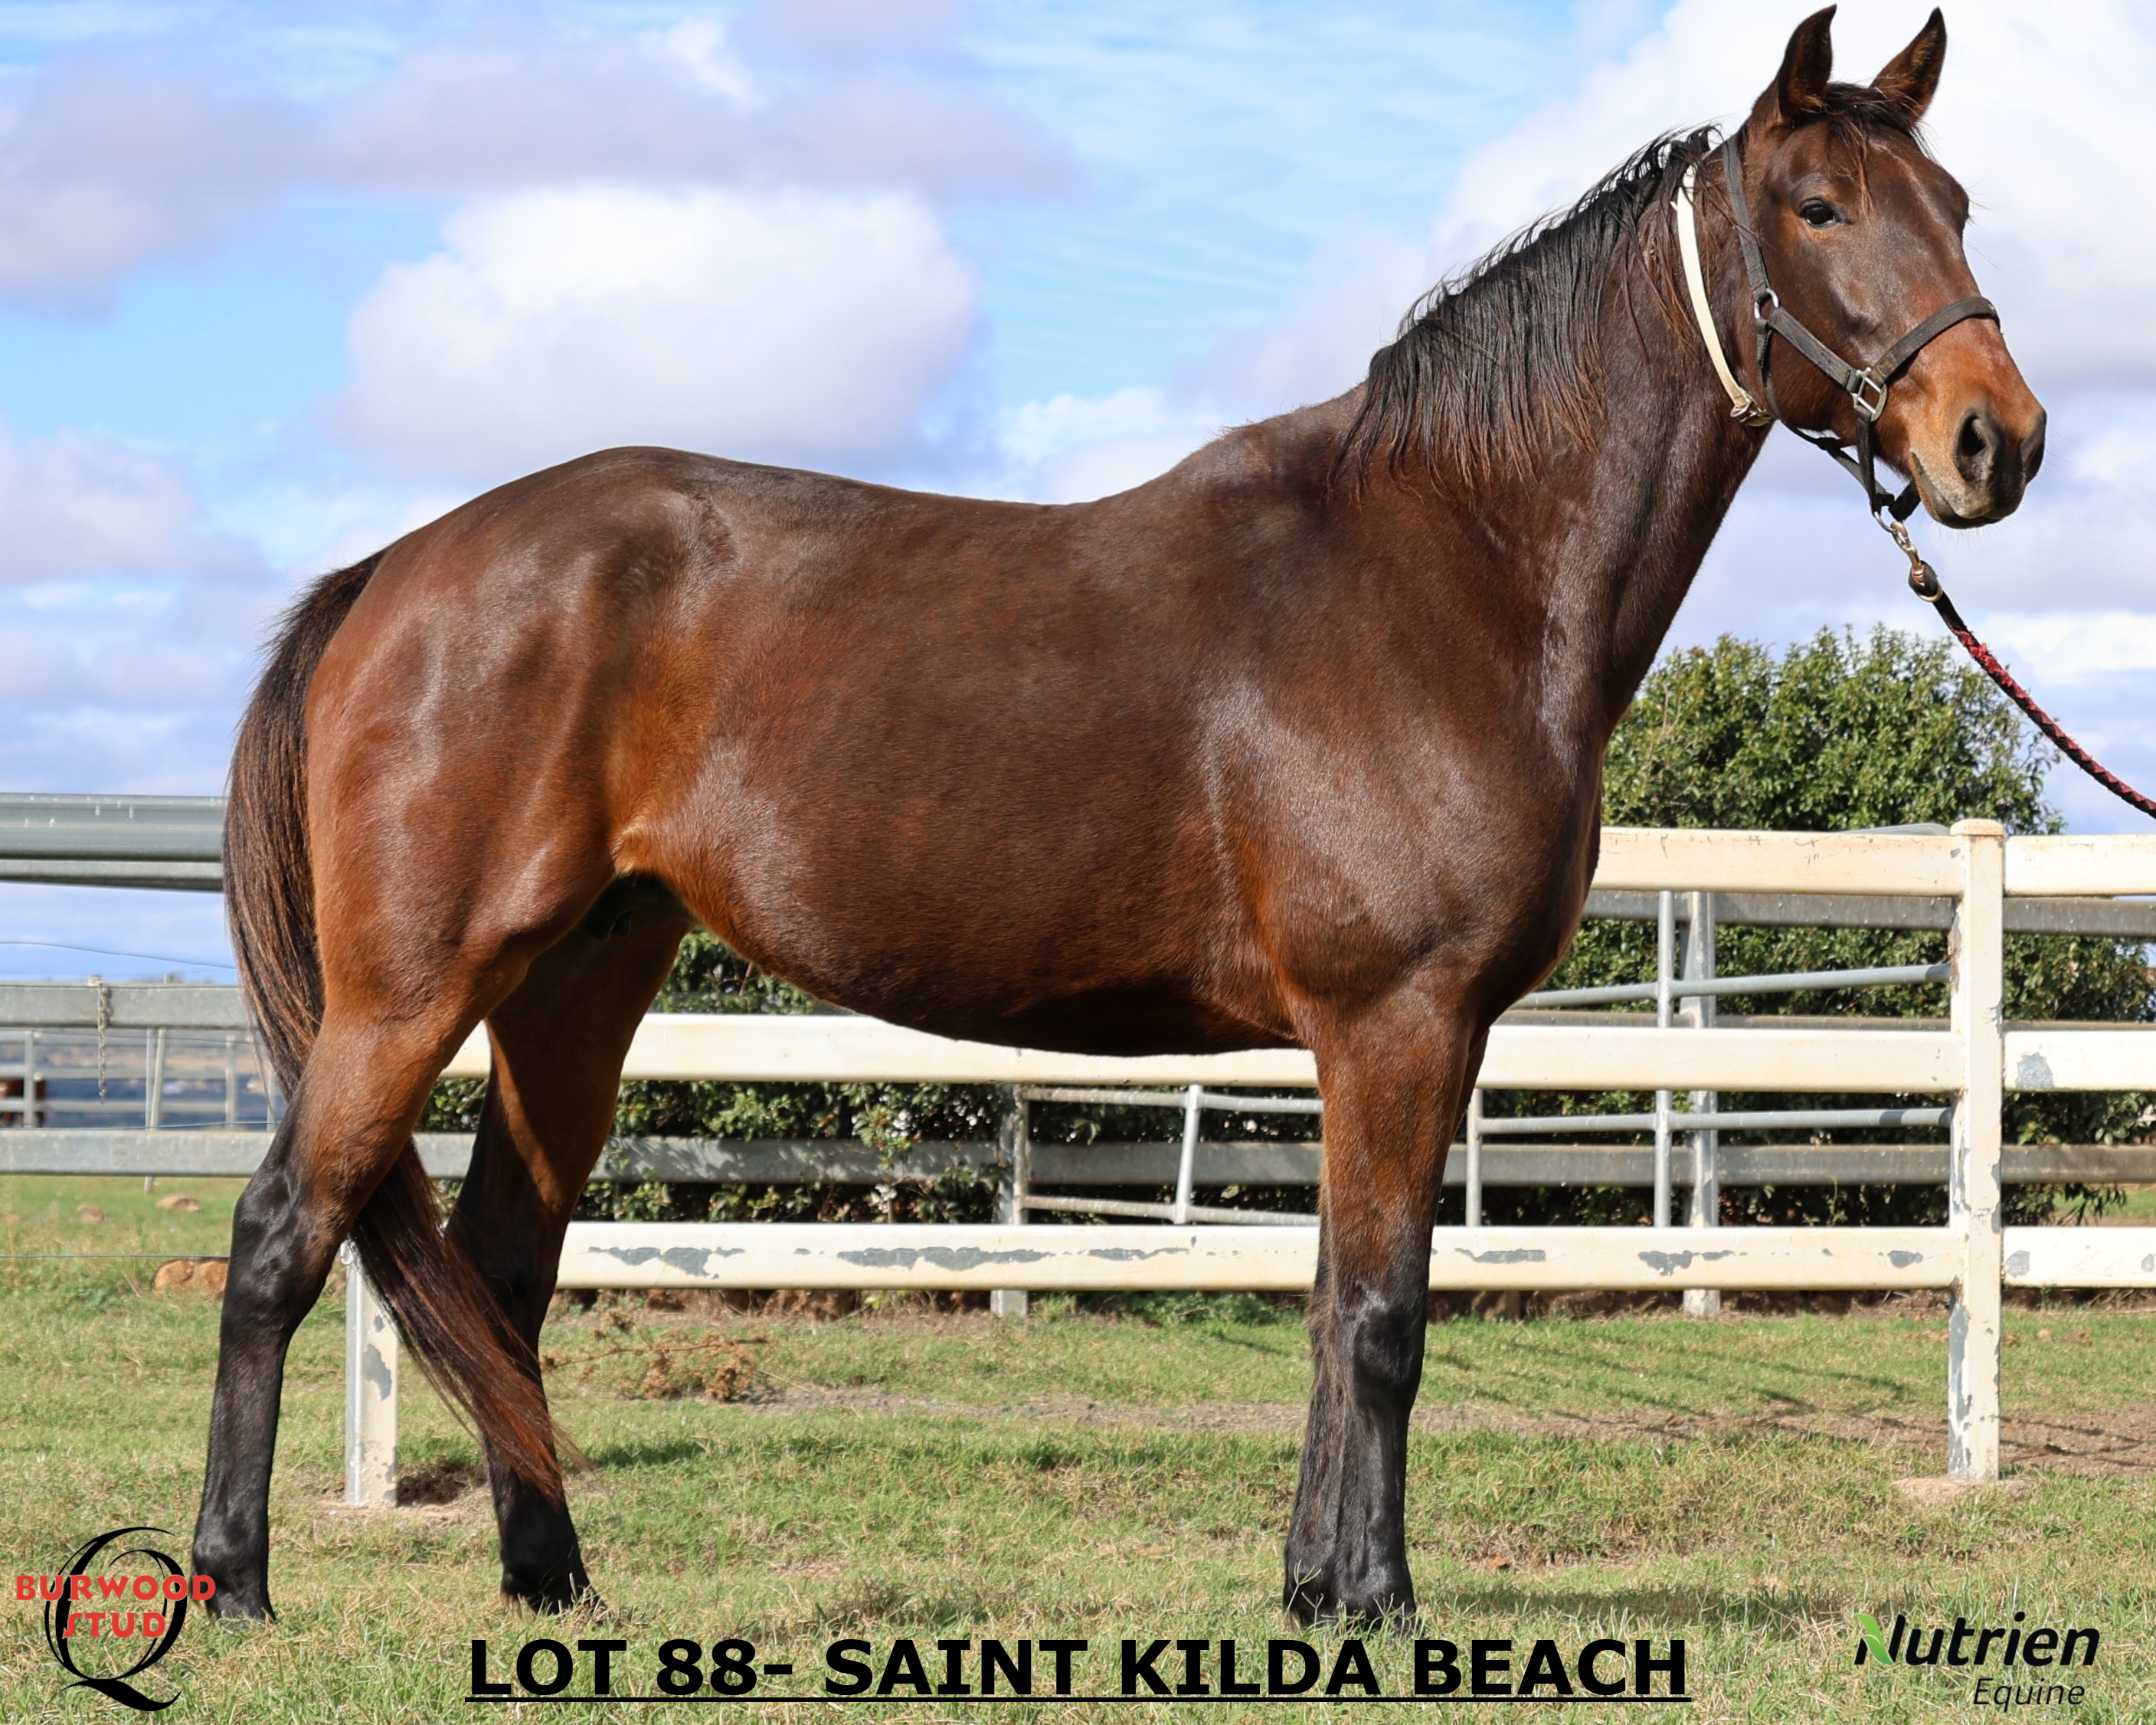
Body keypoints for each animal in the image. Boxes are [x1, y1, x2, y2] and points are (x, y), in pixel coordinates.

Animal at [194, 6, 2041, 1625]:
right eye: (1819, 207)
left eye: (1955, 203)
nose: (1995, 442)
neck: (1456, 566)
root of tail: (396, 571)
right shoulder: (1398, 1019)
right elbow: (1383, 1317)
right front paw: (1377, 1601)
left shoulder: (1401, 1040)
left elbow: (1335, 1302)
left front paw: (1313, 1588)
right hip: (412, 990)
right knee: (284, 1235)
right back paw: (234, 1584)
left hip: (579, 979)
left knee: (500, 1274)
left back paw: (553, 1584)